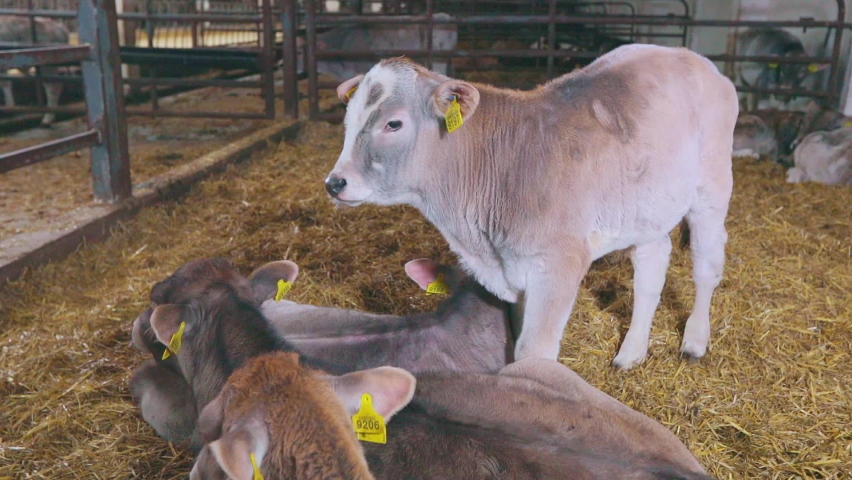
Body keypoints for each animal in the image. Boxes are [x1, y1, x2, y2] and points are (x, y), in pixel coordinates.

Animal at [323, 45, 739, 370]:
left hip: (712, 185)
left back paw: (695, 340)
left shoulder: (557, 265)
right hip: (647, 207)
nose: (335, 182)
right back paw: (631, 351)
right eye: (348, 120)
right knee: (652, 266)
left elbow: (532, 352)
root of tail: (690, 57)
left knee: (706, 262)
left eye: (393, 123)